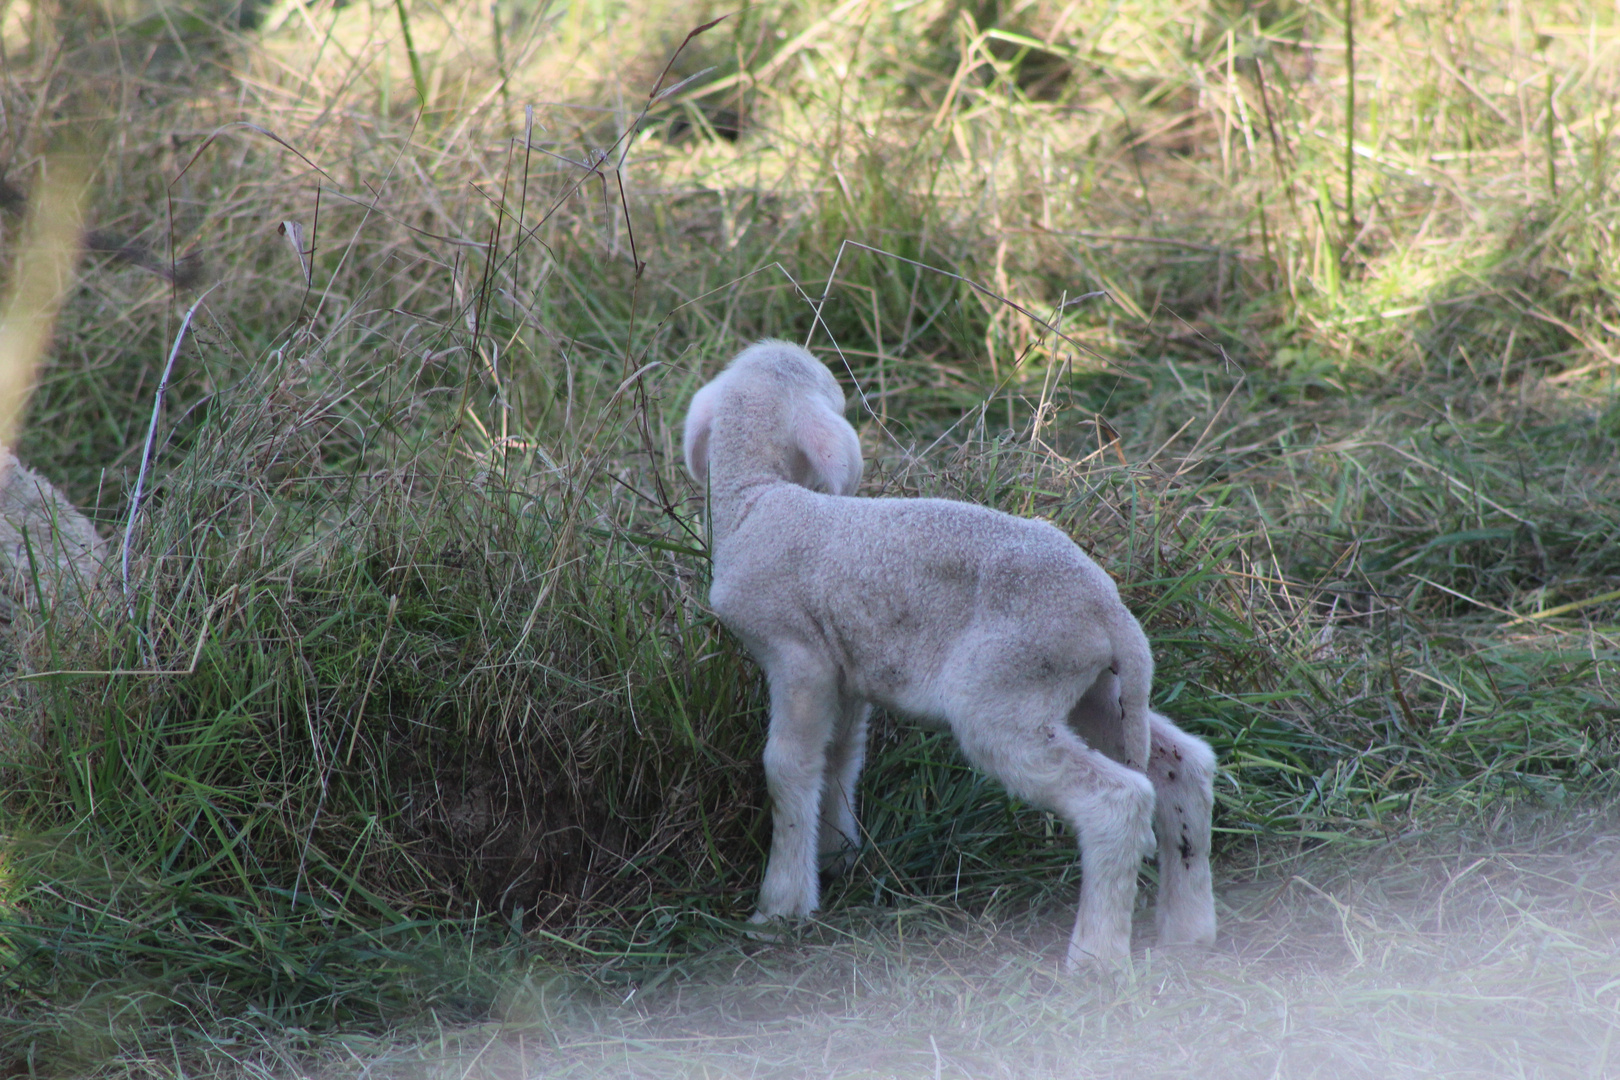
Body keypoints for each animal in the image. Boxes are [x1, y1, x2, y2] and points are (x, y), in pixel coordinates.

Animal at [683, 341, 1218, 965]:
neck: (754, 498)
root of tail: (1111, 611)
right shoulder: (849, 667)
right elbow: (840, 756)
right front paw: (838, 856)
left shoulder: (799, 655)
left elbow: (787, 766)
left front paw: (781, 906)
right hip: (1092, 685)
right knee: (1182, 769)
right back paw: (1188, 931)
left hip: (1005, 685)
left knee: (1119, 801)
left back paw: (1096, 958)